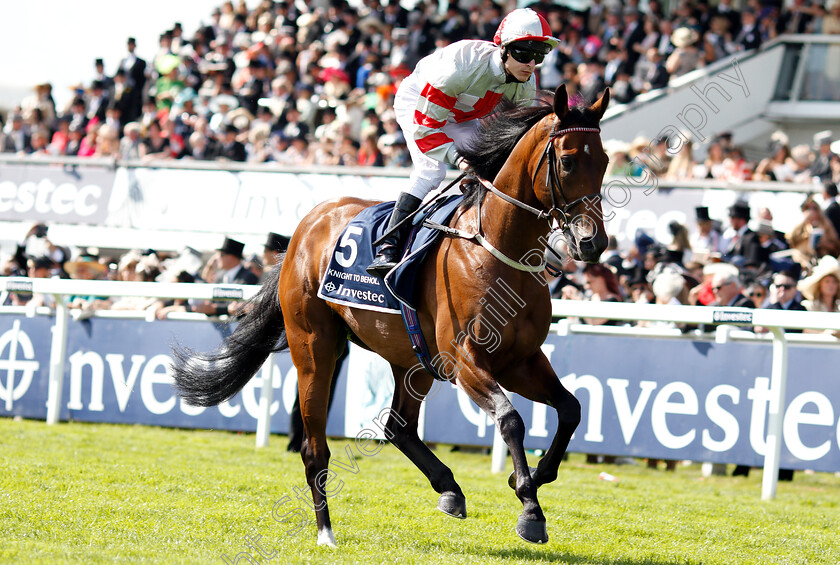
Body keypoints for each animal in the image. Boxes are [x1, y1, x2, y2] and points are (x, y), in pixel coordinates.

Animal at [172, 85, 612, 548]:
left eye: (603, 161)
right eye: (567, 160)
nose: (592, 243)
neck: (495, 248)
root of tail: (306, 227)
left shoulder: (521, 360)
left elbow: (571, 408)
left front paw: (538, 475)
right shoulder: (467, 360)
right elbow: (510, 420)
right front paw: (530, 508)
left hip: (410, 360)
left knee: (397, 428)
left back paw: (449, 489)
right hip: (313, 347)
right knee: (315, 448)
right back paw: (326, 531)